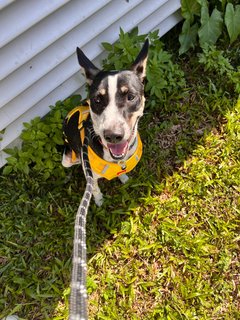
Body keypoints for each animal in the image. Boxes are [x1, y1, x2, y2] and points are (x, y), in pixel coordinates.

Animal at [62, 40, 148, 206]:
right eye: (97, 99)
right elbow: (94, 188)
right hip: (67, 159)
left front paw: (123, 178)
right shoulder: (90, 175)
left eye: (130, 96)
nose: (113, 136)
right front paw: (99, 201)